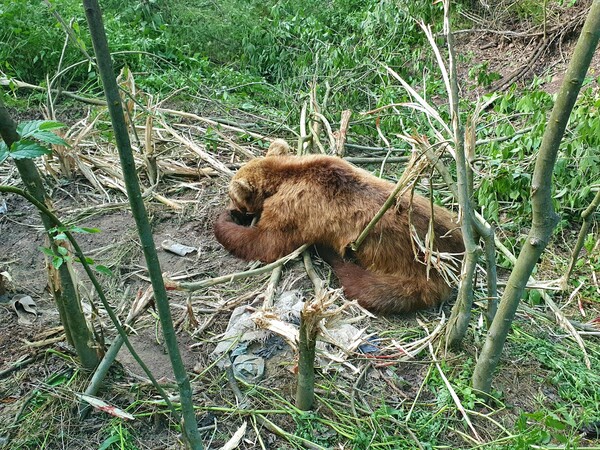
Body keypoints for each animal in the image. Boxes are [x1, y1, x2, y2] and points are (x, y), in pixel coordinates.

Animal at [213, 141, 466, 312]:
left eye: (232, 196)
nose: (233, 206)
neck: (283, 178)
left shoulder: (293, 209)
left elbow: (266, 243)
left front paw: (225, 219)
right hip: (443, 213)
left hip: (409, 267)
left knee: (369, 288)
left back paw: (330, 253)